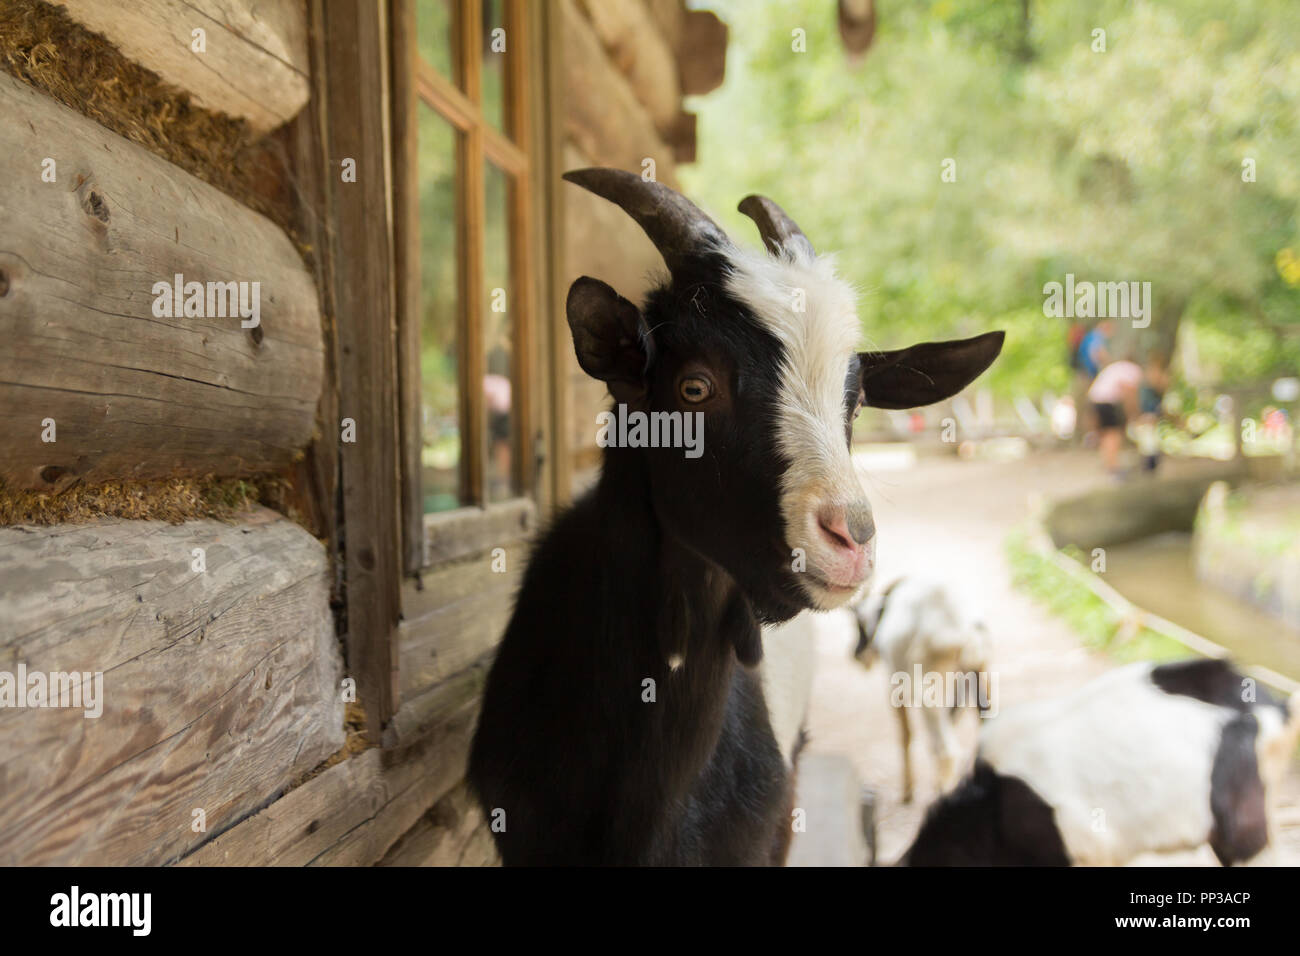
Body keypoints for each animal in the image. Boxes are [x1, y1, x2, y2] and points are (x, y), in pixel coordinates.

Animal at [852, 575, 991, 802]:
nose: (856, 654)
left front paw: (908, 792)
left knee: (948, 750)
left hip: (927, 690)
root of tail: (965, 627)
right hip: (978, 678)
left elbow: (906, 735)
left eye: (858, 624)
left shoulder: (895, 684)